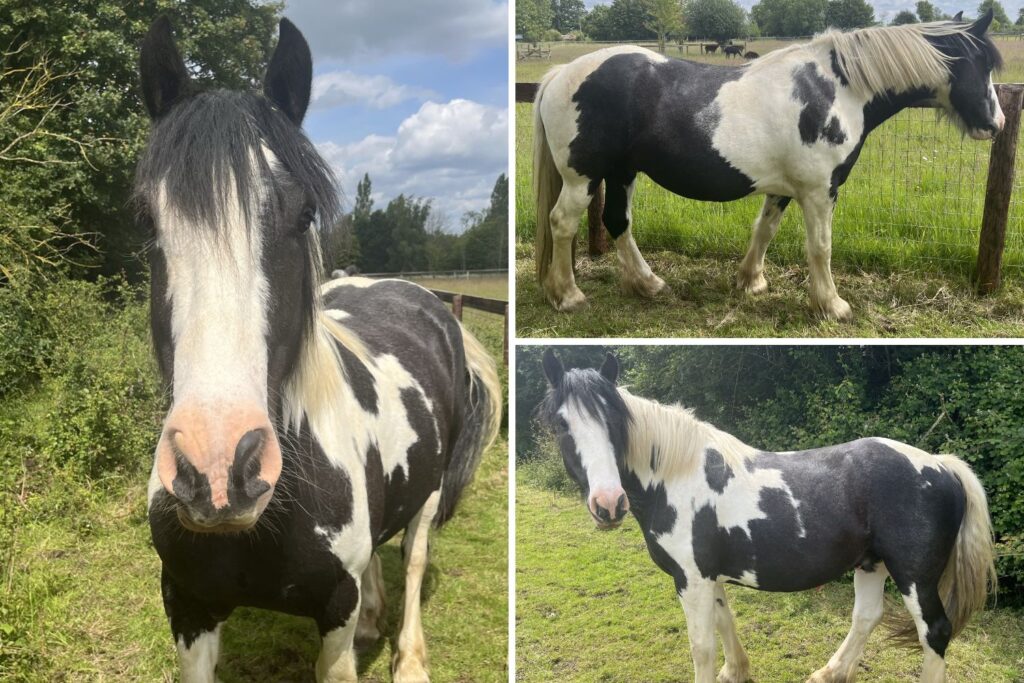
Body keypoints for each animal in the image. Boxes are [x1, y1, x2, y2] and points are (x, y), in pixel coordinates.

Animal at [135, 17, 501, 682]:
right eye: (148, 219)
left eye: (304, 213)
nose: (218, 469)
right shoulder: (188, 605)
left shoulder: (333, 606)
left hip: (431, 494)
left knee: (413, 556)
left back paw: (409, 656)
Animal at [533, 12, 1004, 319]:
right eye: (981, 64)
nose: (996, 123)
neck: (838, 89)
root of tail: (560, 73)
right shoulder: (820, 190)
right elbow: (820, 246)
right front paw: (831, 305)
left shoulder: (783, 187)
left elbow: (765, 229)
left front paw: (751, 281)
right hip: (583, 177)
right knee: (563, 223)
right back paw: (568, 295)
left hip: (622, 171)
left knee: (617, 221)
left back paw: (648, 284)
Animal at [538, 350, 995, 683]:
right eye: (561, 425)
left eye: (615, 421)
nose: (608, 504)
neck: (676, 475)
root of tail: (941, 465)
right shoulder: (709, 576)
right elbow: (725, 621)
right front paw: (736, 671)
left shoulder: (691, 578)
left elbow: (701, 645)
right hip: (872, 563)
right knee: (867, 617)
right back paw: (828, 673)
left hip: (915, 577)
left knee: (934, 632)